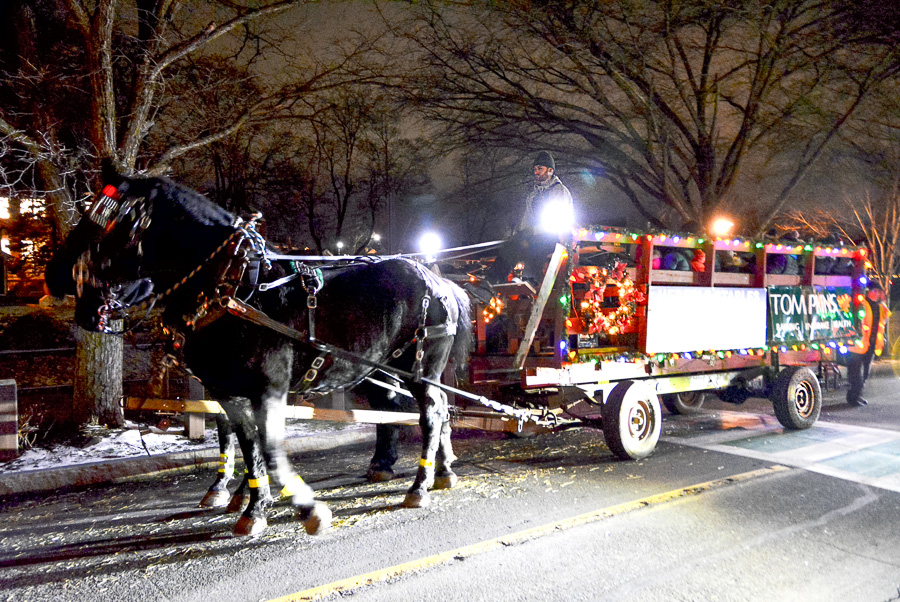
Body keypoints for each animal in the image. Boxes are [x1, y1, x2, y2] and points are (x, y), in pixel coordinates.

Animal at [45, 165, 472, 537]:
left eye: (115, 221)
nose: (55, 277)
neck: (233, 288)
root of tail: (439, 280)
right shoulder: (226, 390)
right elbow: (246, 444)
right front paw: (250, 504)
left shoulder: (269, 389)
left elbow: (267, 447)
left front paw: (304, 507)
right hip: (386, 368)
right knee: (420, 409)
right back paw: (433, 470)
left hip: (420, 369)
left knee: (431, 413)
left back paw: (420, 485)